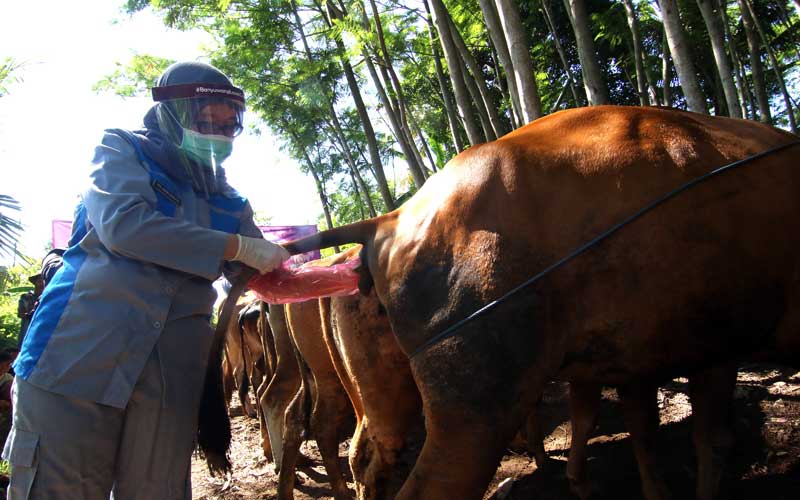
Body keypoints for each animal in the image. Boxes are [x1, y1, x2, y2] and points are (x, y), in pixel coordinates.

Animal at [288, 107, 800, 500]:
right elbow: (710, 440)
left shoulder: (626, 362)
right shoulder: (718, 345)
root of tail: (390, 220)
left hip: (388, 397)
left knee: (366, 453)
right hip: (476, 413)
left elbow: (634, 426)